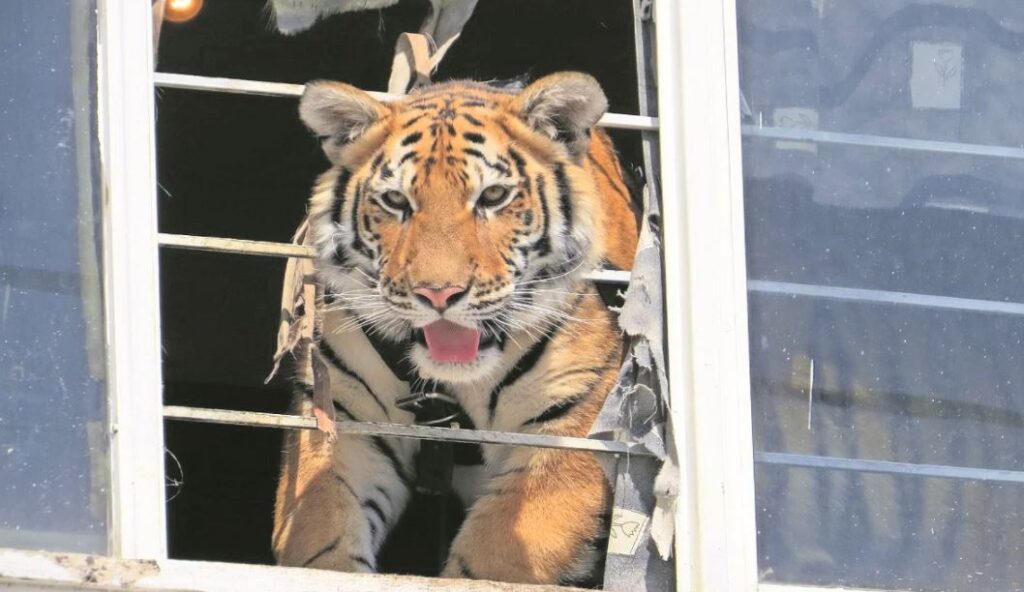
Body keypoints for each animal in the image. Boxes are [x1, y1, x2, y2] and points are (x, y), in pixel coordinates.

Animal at [271, 71, 640, 586]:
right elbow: (320, 532)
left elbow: (494, 557)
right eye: (396, 201)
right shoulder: (343, 417)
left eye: (493, 197)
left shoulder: (572, 427)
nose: (439, 295)